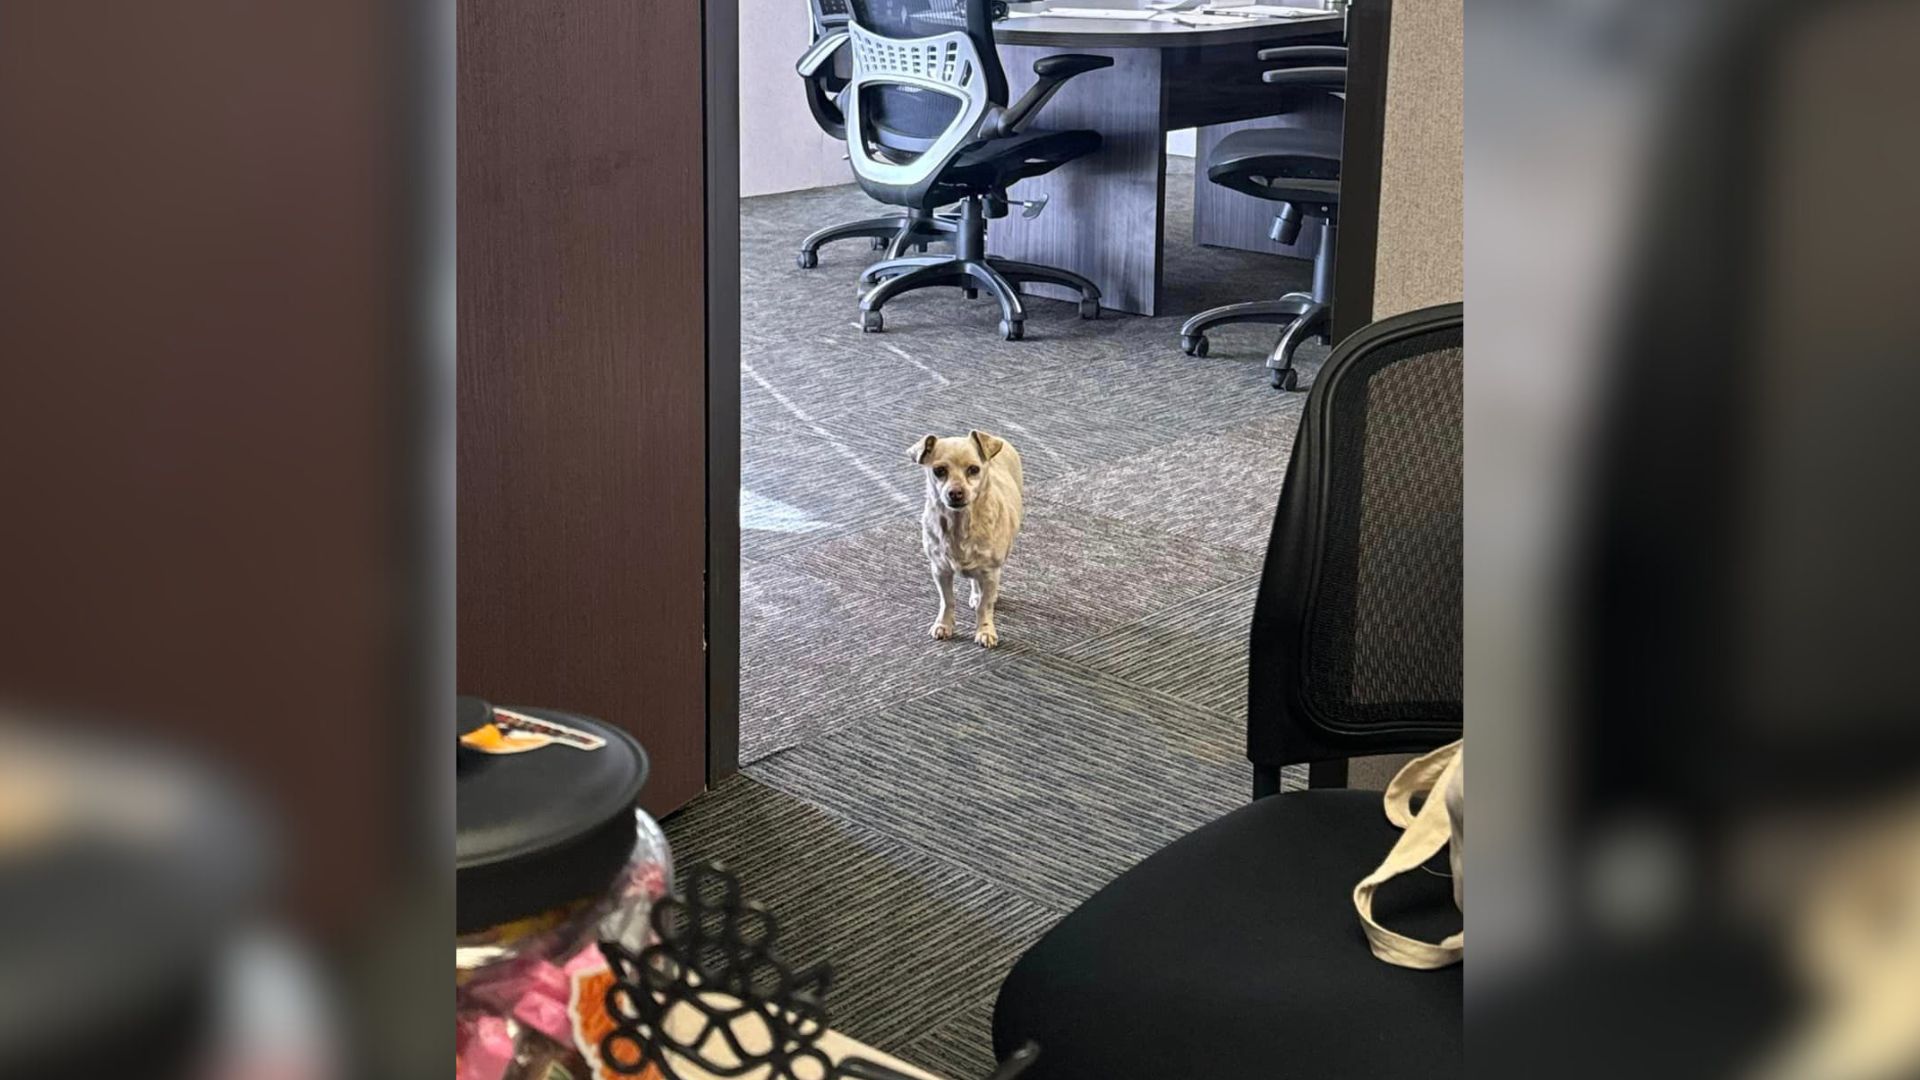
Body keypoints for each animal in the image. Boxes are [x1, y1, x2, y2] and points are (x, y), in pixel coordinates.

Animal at [910, 428, 1029, 645]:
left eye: (974, 469)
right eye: (939, 471)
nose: (955, 492)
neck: (959, 525)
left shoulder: (990, 572)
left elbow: (985, 606)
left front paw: (985, 631)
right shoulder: (940, 570)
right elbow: (947, 600)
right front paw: (943, 625)